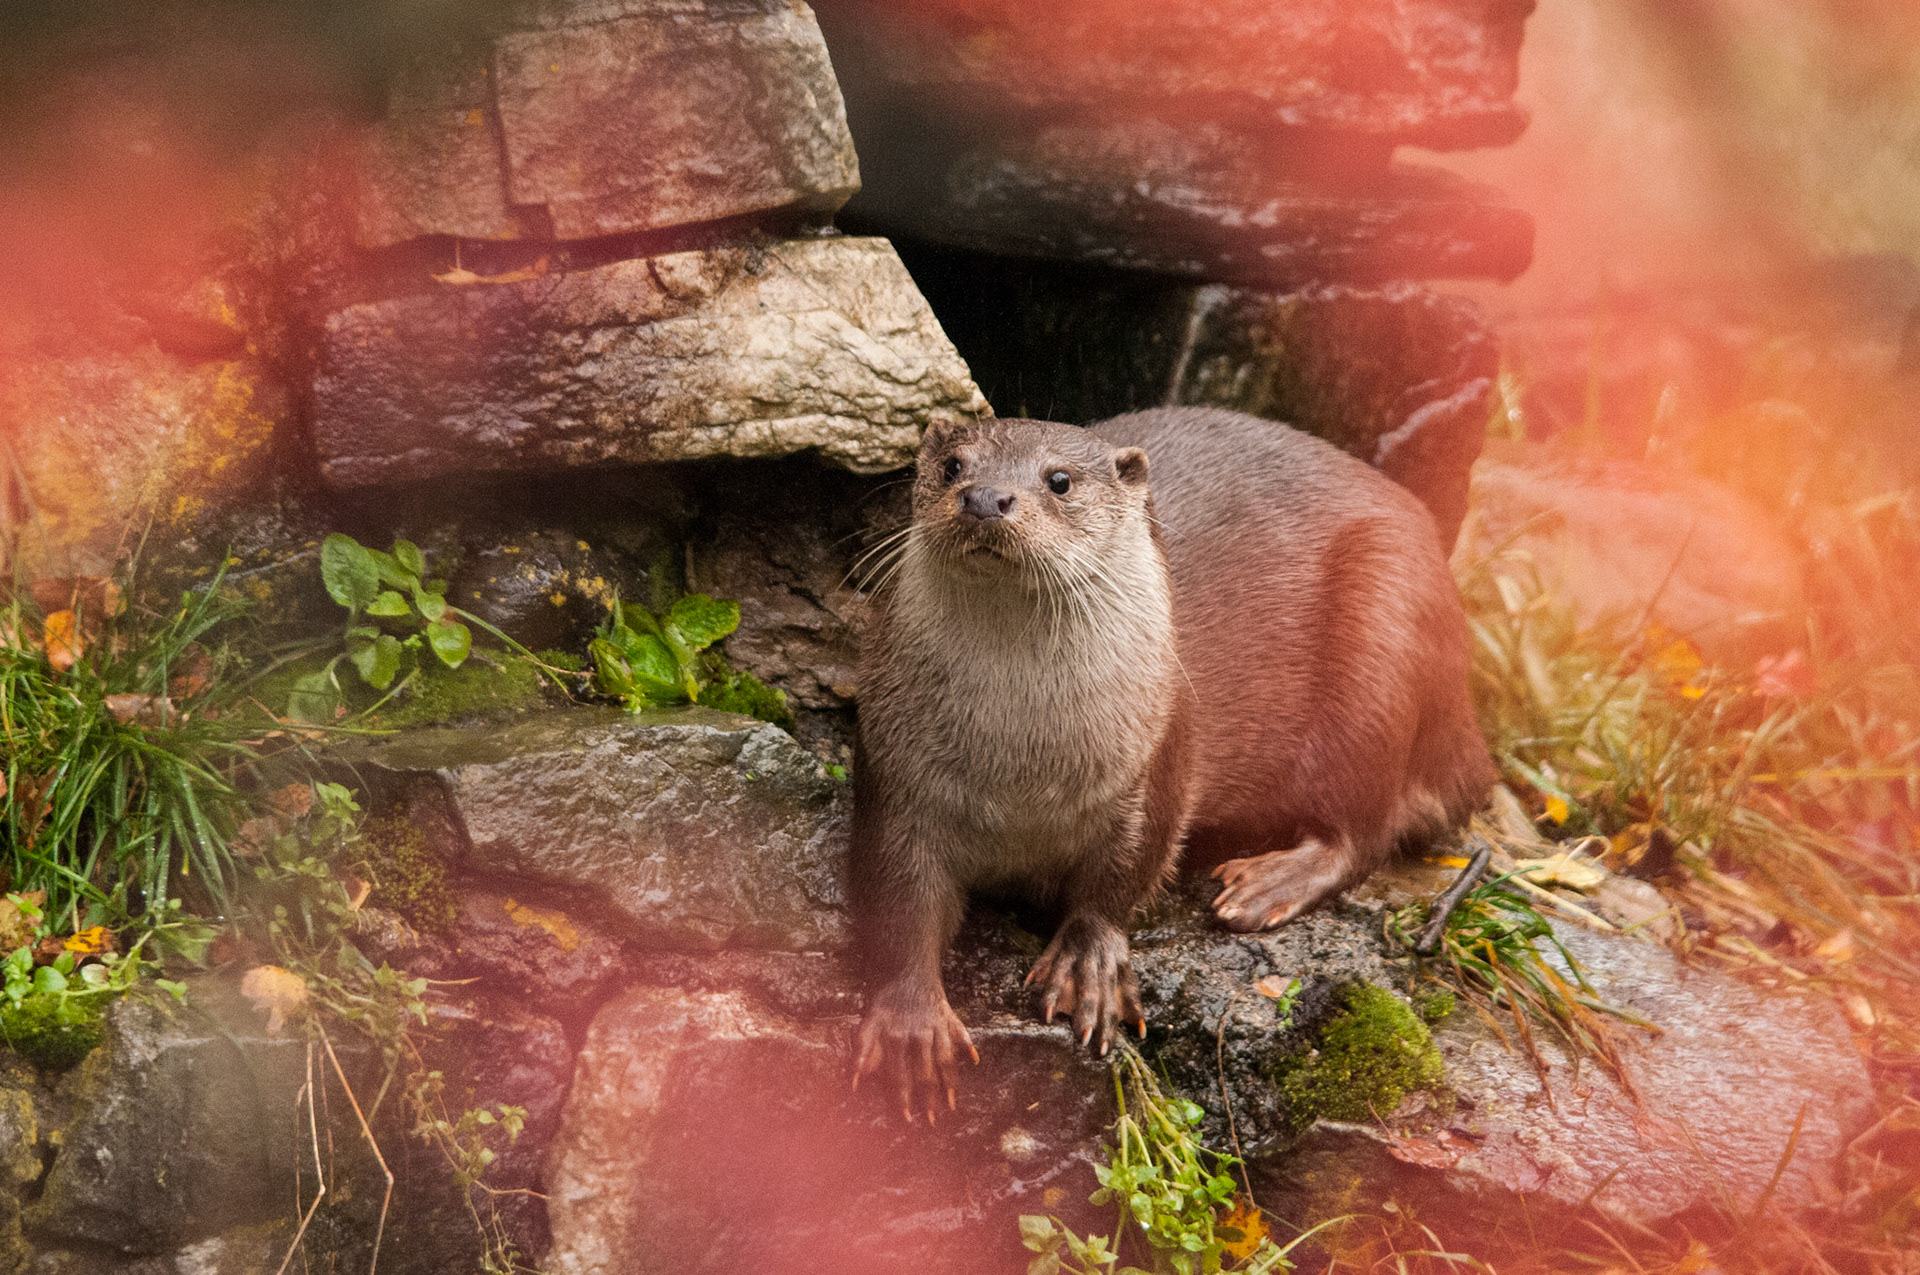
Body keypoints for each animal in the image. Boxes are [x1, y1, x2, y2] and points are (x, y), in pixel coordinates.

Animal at [849, 407, 1493, 1119]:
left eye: (1060, 479)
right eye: (953, 466)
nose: (985, 498)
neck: (1022, 771)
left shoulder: (1157, 758)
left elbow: (1124, 874)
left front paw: (1090, 965)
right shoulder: (895, 767)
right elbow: (897, 897)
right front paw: (911, 1022)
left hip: (1384, 641)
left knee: (1367, 830)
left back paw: (1264, 884)